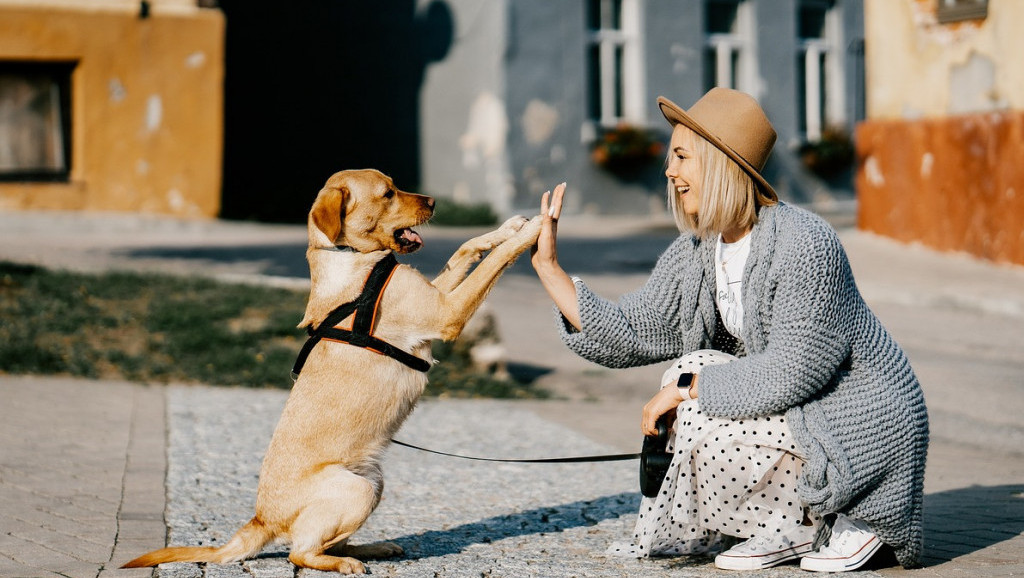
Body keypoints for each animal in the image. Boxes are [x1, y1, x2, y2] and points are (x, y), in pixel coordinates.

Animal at [122, 167, 544, 573]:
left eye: (395, 185)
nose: (434, 202)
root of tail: (261, 519)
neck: (351, 257)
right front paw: (535, 229)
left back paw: (373, 548)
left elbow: (465, 249)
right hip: (357, 490)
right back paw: (345, 563)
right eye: (387, 193)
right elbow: (493, 262)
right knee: (300, 553)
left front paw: (509, 227)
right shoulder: (446, 313)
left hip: (373, 482)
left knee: (326, 542)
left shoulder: (437, 296)